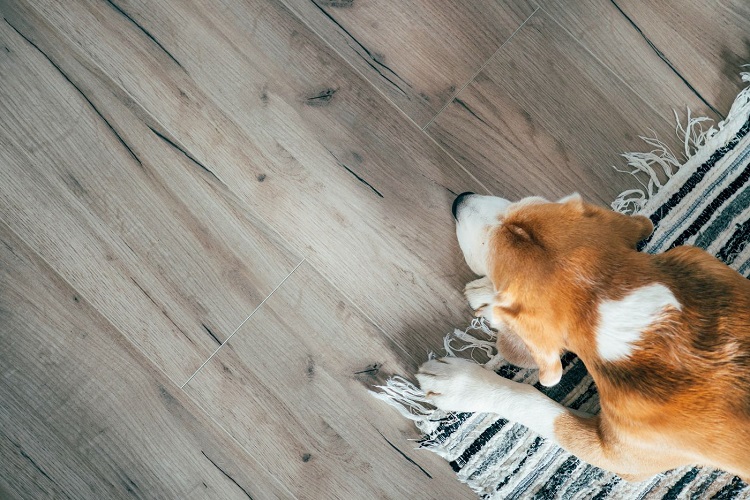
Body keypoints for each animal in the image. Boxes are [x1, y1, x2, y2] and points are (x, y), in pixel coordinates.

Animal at [418, 191, 750, 480]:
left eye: (486, 248)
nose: (460, 200)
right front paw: (490, 301)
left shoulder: (617, 457)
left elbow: (534, 402)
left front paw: (460, 384)